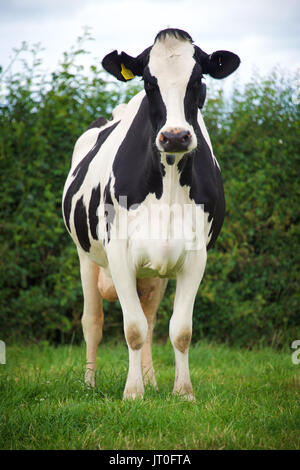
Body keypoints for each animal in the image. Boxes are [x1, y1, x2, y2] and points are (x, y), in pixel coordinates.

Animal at [62, 28, 240, 400]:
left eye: (198, 79)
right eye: (148, 81)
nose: (175, 137)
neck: (168, 180)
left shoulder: (195, 256)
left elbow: (179, 330)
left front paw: (182, 391)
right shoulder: (119, 253)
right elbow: (132, 328)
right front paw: (132, 393)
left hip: (155, 273)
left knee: (151, 317)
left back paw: (152, 379)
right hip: (85, 257)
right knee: (93, 322)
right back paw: (89, 383)